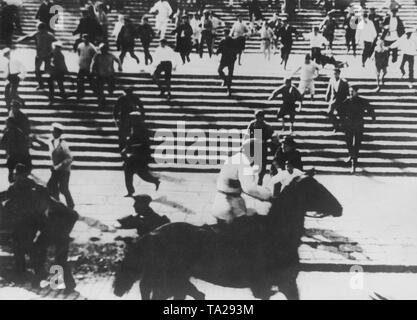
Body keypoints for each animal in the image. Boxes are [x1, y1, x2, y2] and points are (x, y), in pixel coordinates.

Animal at [113, 175, 342, 300]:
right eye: (317, 189)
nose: (339, 208)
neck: (275, 233)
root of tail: (151, 235)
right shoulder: (274, 285)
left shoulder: (284, 285)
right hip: (167, 282)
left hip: (175, 281)